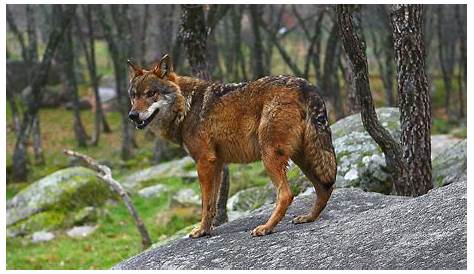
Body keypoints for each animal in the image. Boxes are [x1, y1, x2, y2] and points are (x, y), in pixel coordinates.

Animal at [126, 54, 336, 237]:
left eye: (151, 93)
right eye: (134, 96)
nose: (132, 115)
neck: (186, 106)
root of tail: (306, 85)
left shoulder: (204, 162)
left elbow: (205, 204)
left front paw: (201, 230)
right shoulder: (217, 164)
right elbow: (213, 204)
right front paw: (205, 230)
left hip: (270, 157)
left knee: (286, 194)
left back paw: (266, 228)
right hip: (303, 157)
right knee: (324, 188)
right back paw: (308, 217)